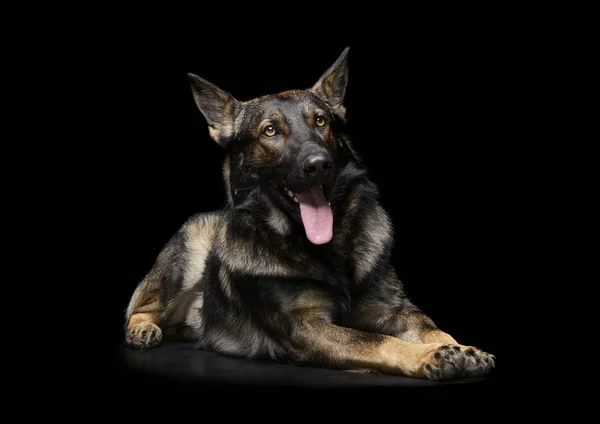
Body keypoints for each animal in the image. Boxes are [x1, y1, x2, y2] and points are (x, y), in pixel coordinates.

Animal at [124, 48, 494, 380]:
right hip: (191, 248)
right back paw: (142, 330)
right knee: (140, 308)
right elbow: (375, 340)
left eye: (320, 121)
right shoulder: (307, 328)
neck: (326, 253)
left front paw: (461, 348)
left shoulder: (392, 308)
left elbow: (432, 328)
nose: (318, 165)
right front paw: (427, 356)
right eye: (270, 131)